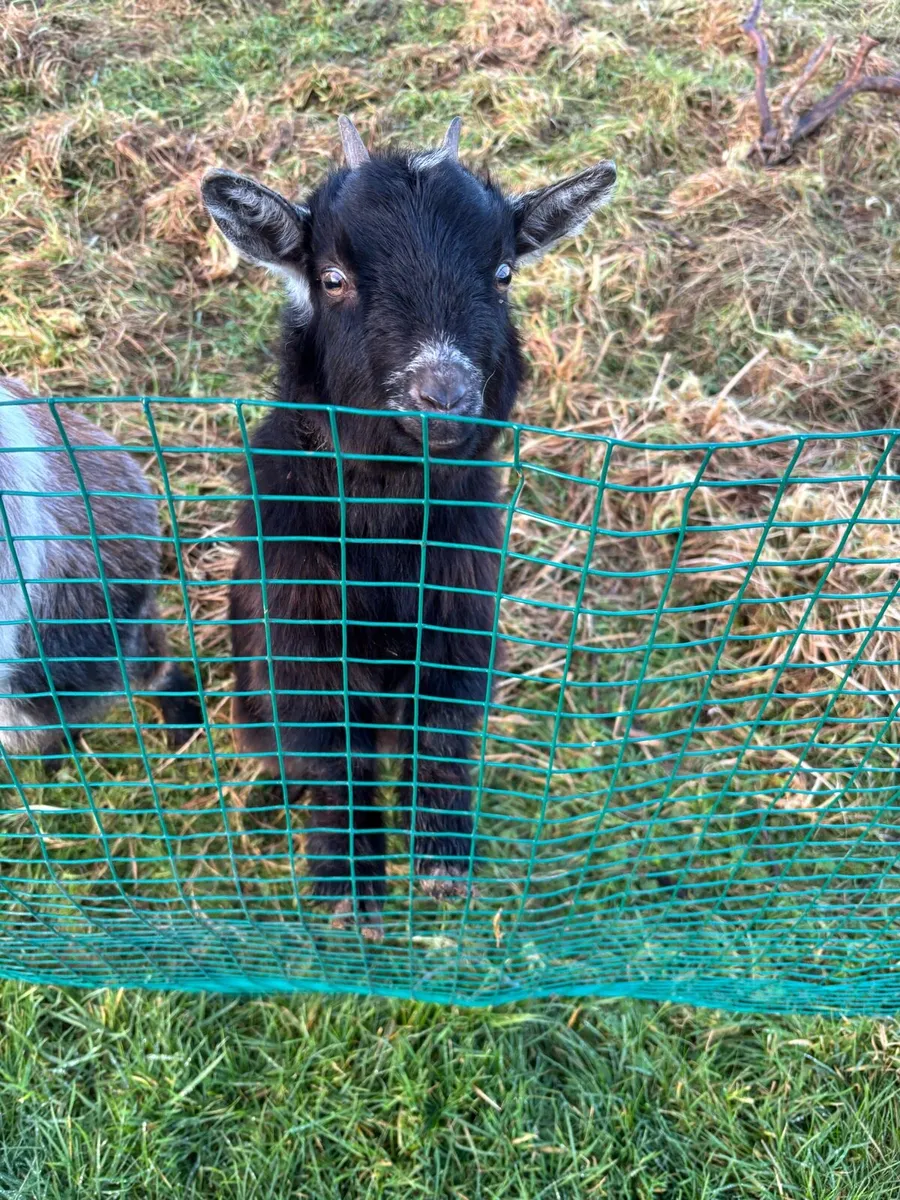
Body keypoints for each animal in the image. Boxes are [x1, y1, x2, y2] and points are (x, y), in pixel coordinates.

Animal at [202, 117, 616, 936]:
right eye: (333, 278)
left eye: (503, 274)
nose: (443, 395)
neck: (389, 526)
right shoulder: (298, 629)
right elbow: (332, 747)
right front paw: (350, 887)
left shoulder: (463, 610)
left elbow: (445, 724)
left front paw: (442, 864)